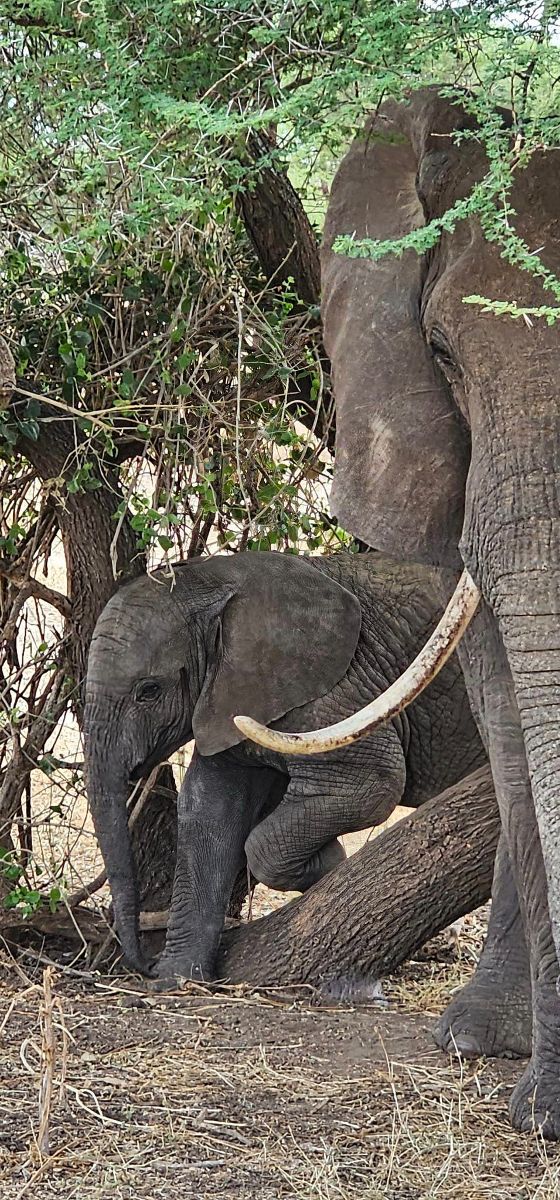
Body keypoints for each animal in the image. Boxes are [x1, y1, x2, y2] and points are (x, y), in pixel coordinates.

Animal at [84, 549, 484, 985]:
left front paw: (330, 865)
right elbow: (209, 809)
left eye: (149, 691)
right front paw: (177, 981)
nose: (143, 963)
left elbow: (374, 784)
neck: (212, 581)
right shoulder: (229, 697)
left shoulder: (336, 694)